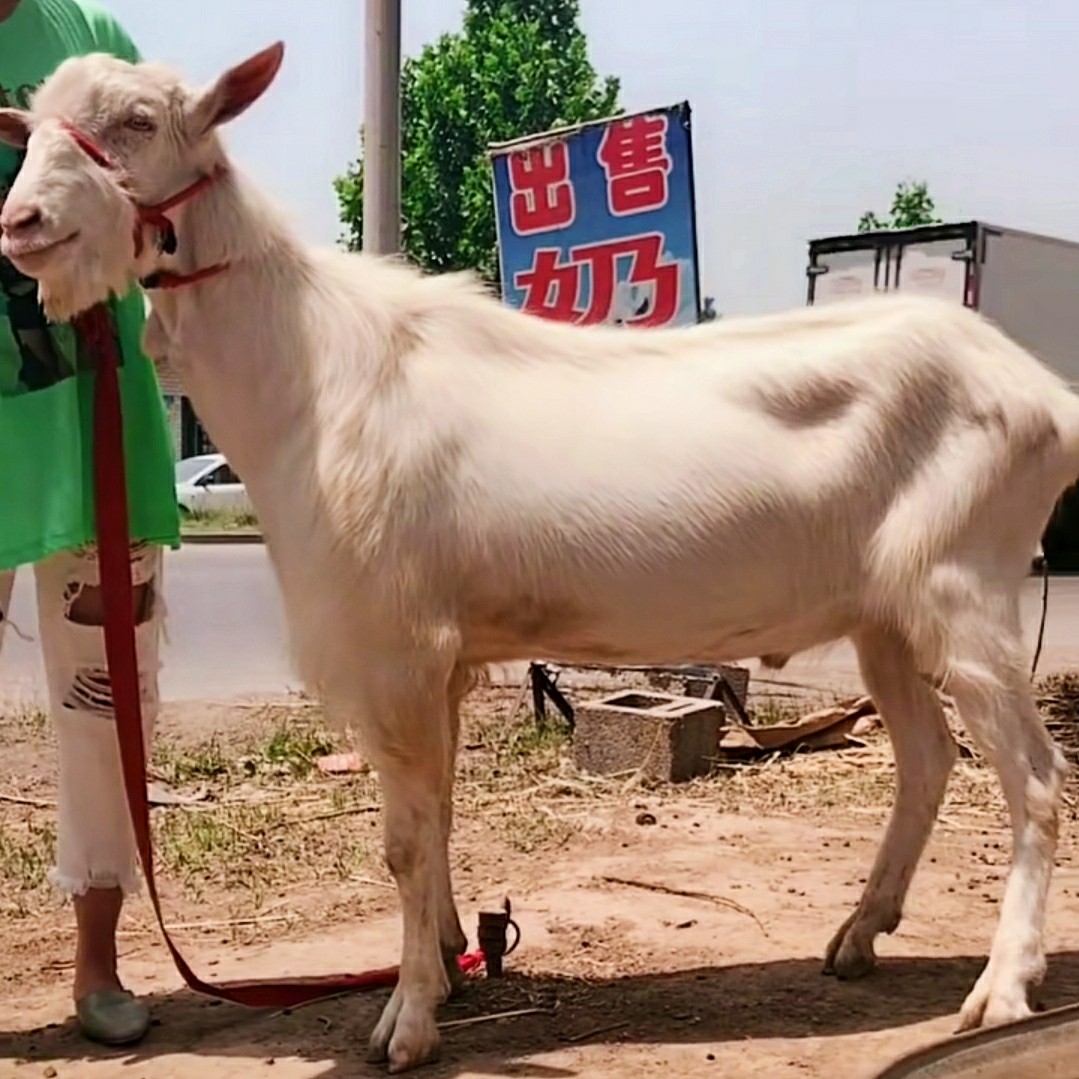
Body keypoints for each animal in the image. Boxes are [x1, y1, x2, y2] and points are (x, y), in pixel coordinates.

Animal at [0, 39, 1074, 1070]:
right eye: (32, 125)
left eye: (138, 121)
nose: (21, 223)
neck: (310, 375)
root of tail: (1045, 397)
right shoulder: (442, 656)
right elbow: (435, 818)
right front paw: (445, 961)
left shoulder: (392, 644)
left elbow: (401, 840)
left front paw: (405, 1024)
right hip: (885, 611)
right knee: (927, 757)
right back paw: (860, 931)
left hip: (964, 584)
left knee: (1032, 776)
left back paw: (1001, 986)